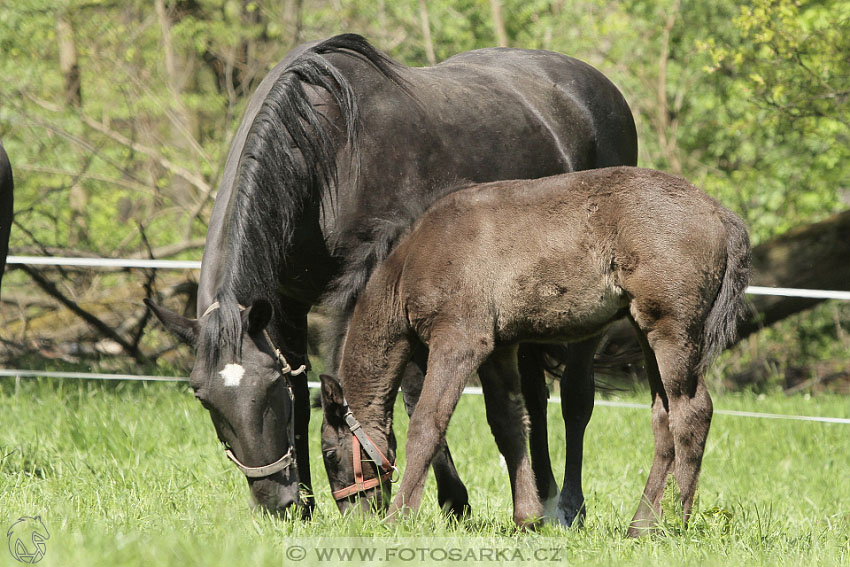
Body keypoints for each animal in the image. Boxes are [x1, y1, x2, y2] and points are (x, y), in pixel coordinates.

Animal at [146, 31, 636, 520]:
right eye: (202, 396)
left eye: (267, 389)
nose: (275, 504)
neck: (327, 155)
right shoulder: (285, 306)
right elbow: (305, 401)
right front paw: (307, 505)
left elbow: (415, 397)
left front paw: (452, 501)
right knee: (534, 395)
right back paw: (546, 497)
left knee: (574, 399)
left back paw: (569, 505)